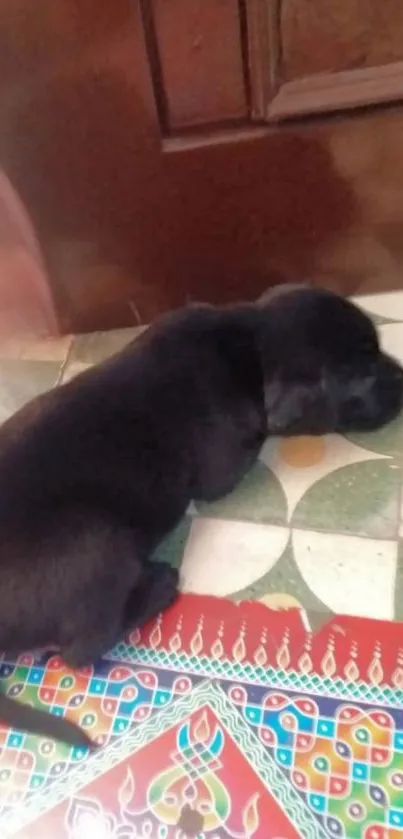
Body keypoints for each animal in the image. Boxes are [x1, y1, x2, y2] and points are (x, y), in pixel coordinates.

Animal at [0, 286, 402, 744]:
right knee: (80, 648)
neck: (249, 346)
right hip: (99, 541)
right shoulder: (222, 467)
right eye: (361, 373)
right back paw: (158, 584)